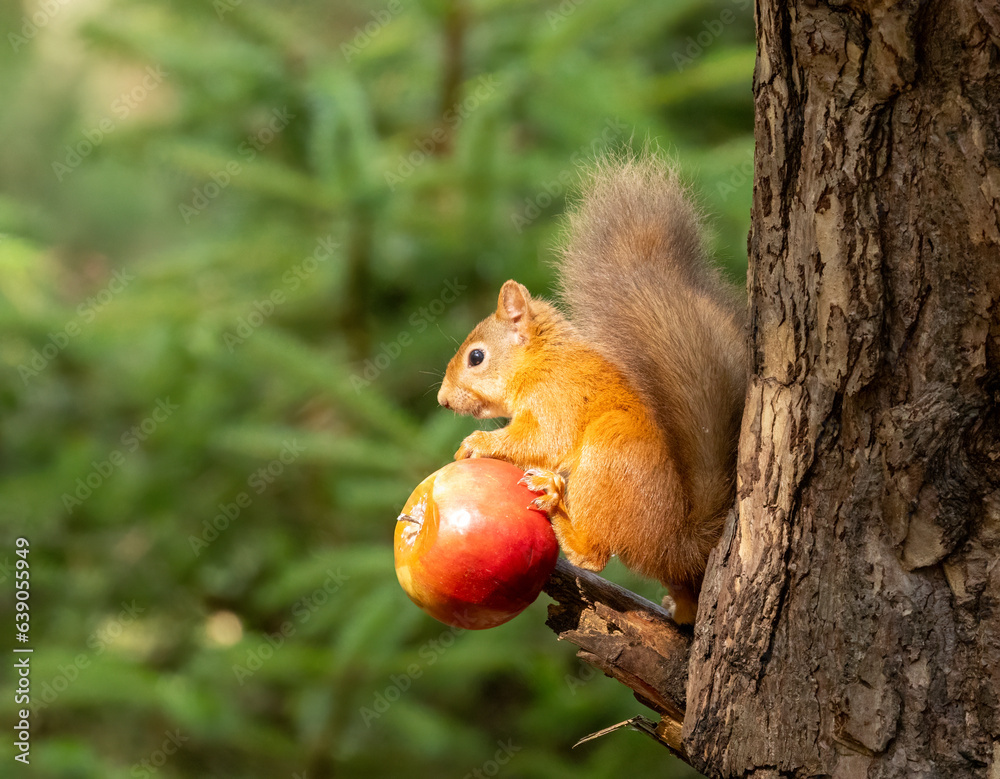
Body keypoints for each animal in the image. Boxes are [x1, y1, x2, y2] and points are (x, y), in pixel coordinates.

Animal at [436, 154, 747, 624]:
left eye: (476, 357)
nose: (442, 400)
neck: (541, 362)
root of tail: (676, 542)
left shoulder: (557, 396)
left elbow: (543, 440)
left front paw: (478, 442)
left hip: (610, 450)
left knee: (594, 556)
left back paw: (559, 510)